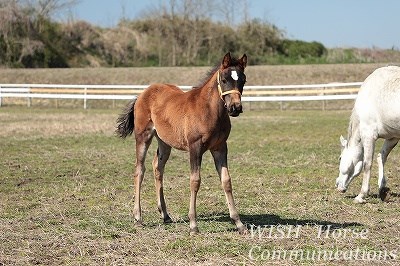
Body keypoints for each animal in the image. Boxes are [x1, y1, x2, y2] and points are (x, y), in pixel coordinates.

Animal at [336, 65, 400, 203]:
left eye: (340, 158)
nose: (338, 185)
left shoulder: (368, 135)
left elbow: (367, 164)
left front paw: (361, 196)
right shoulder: (393, 137)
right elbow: (381, 157)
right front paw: (382, 189)